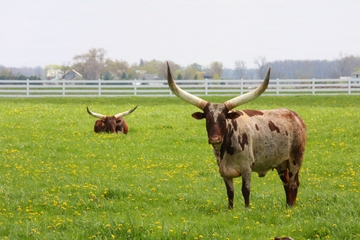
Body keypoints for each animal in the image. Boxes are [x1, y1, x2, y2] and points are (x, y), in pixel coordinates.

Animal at [167, 62, 306, 208]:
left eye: (223, 119)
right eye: (208, 119)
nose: (215, 139)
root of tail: (295, 116)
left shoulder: (246, 167)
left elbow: (245, 190)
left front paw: (247, 208)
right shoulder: (224, 171)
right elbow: (230, 192)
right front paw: (230, 209)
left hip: (295, 159)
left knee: (293, 183)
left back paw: (291, 207)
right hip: (281, 163)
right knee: (286, 183)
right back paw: (288, 206)